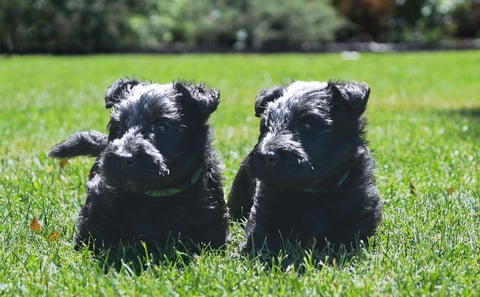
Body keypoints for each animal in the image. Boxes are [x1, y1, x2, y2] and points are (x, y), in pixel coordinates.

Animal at [229, 80, 382, 252]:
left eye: (308, 124)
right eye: (265, 124)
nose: (267, 156)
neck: (313, 193)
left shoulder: (359, 214)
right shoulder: (264, 210)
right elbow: (261, 238)